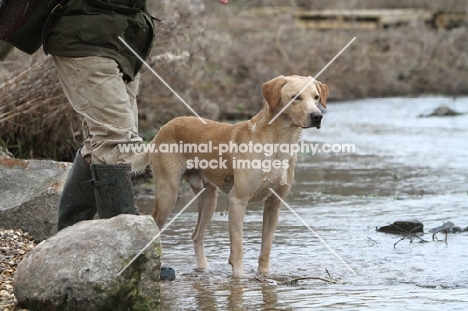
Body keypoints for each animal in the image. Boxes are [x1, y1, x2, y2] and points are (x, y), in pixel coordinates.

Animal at [132, 75, 330, 278]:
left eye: (316, 97)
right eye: (295, 97)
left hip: (209, 198)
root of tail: (161, 129)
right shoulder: (238, 200)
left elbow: (266, 247)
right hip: (168, 193)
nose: (317, 116)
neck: (280, 142)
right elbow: (238, 246)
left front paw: (264, 274)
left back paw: (203, 268)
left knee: (197, 235)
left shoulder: (274, 205)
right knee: (155, 229)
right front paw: (239, 277)